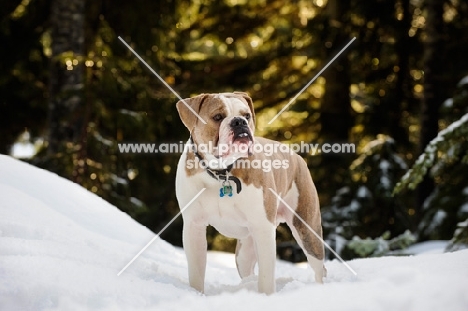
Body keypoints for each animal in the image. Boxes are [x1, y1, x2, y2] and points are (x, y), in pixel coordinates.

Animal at [175, 92, 326, 294]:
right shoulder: (194, 226)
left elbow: (266, 276)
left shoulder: (263, 228)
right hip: (244, 252)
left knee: (319, 267)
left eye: (246, 115)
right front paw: (196, 294)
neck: (221, 172)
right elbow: (196, 273)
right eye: (217, 117)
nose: (239, 122)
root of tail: (295, 155)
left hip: (307, 229)